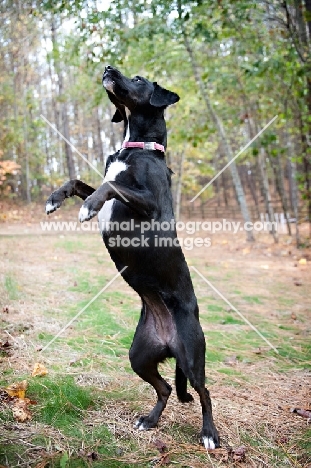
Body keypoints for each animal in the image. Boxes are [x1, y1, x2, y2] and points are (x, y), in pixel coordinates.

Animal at [46, 66, 221, 450]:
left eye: (139, 80)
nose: (108, 68)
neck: (138, 148)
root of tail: (169, 343)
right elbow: (79, 180)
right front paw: (54, 198)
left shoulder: (147, 202)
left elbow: (109, 187)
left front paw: (86, 208)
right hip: (139, 355)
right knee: (166, 387)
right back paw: (150, 421)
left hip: (192, 356)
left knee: (203, 392)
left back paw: (209, 434)